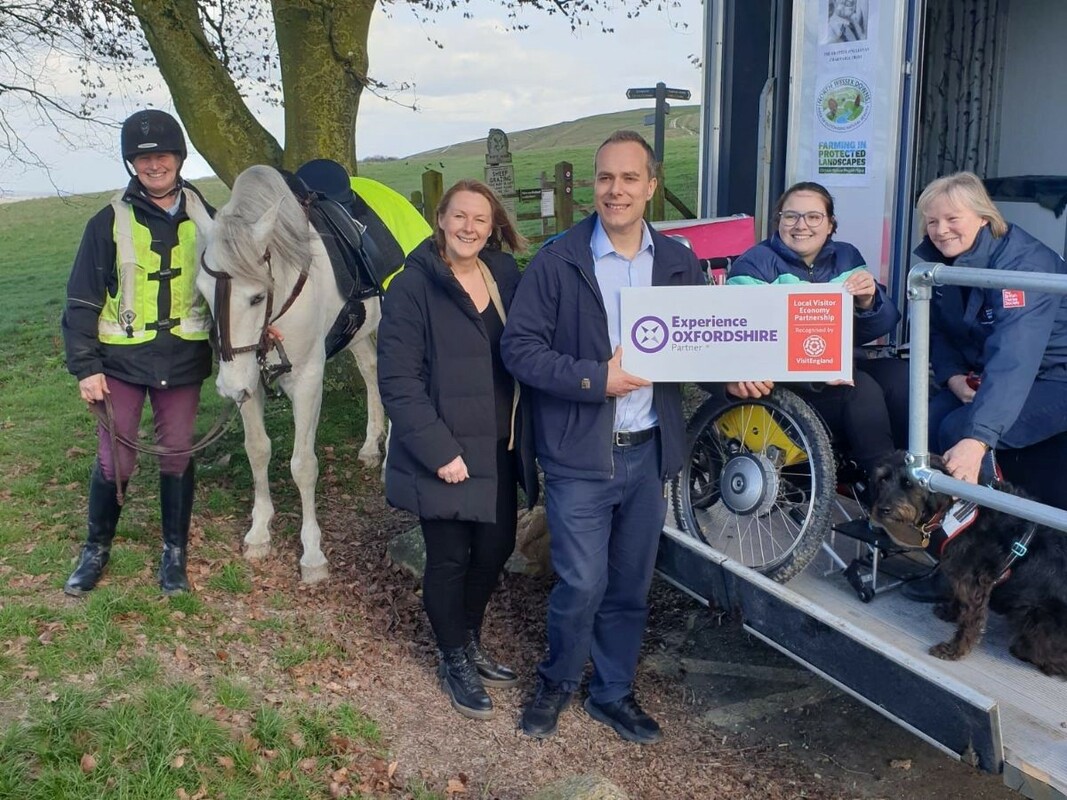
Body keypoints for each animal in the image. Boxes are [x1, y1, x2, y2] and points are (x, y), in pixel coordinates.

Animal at [197, 166, 388, 584]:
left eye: (256, 296)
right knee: (371, 371)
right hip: (359, 333)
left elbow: (303, 465)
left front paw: (312, 554)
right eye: (202, 292)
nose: (226, 386)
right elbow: (257, 449)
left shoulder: (307, 381)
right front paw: (258, 531)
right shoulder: (249, 381)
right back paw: (371, 446)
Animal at [866, 452, 1067, 678]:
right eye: (882, 480)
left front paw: (954, 650)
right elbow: (958, 598)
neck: (952, 508)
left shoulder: (975, 583)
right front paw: (950, 612)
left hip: (1034, 620)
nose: (882, 509)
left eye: (908, 483)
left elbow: (970, 621)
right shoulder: (961, 575)